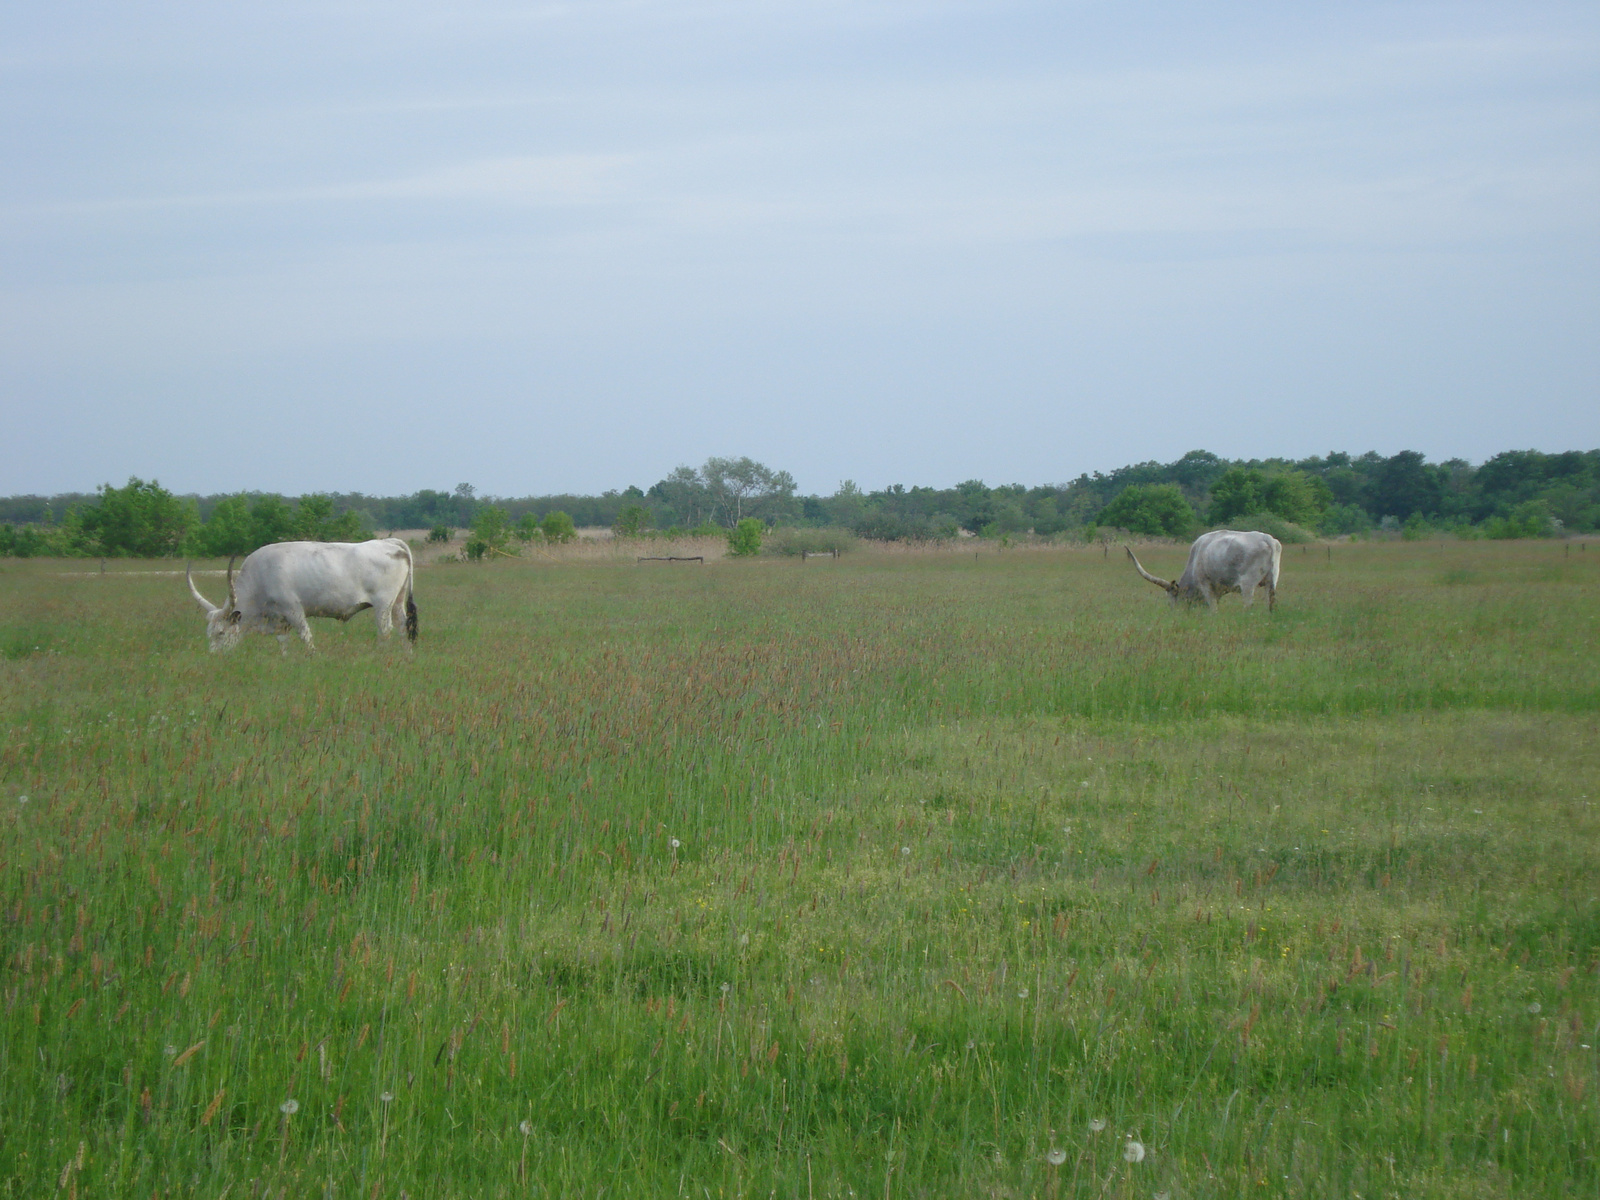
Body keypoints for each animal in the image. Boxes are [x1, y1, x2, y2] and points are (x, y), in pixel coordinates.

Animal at [185, 540, 419, 652]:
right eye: (209, 634)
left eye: (221, 633)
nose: (214, 657)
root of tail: (389, 543)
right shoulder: (279, 619)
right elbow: (283, 642)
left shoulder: (293, 610)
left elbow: (306, 637)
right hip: (396, 603)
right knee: (403, 626)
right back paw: (407, 656)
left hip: (383, 605)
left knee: (385, 631)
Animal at [1126, 534, 1286, 611]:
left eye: (1173, 598)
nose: (1175, 612)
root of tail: (1267, 539)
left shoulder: (1206, 585)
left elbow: (1213, 608)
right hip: (1271, 582)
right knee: (1270, 603)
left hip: (1247, 584)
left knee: (1248, 605)